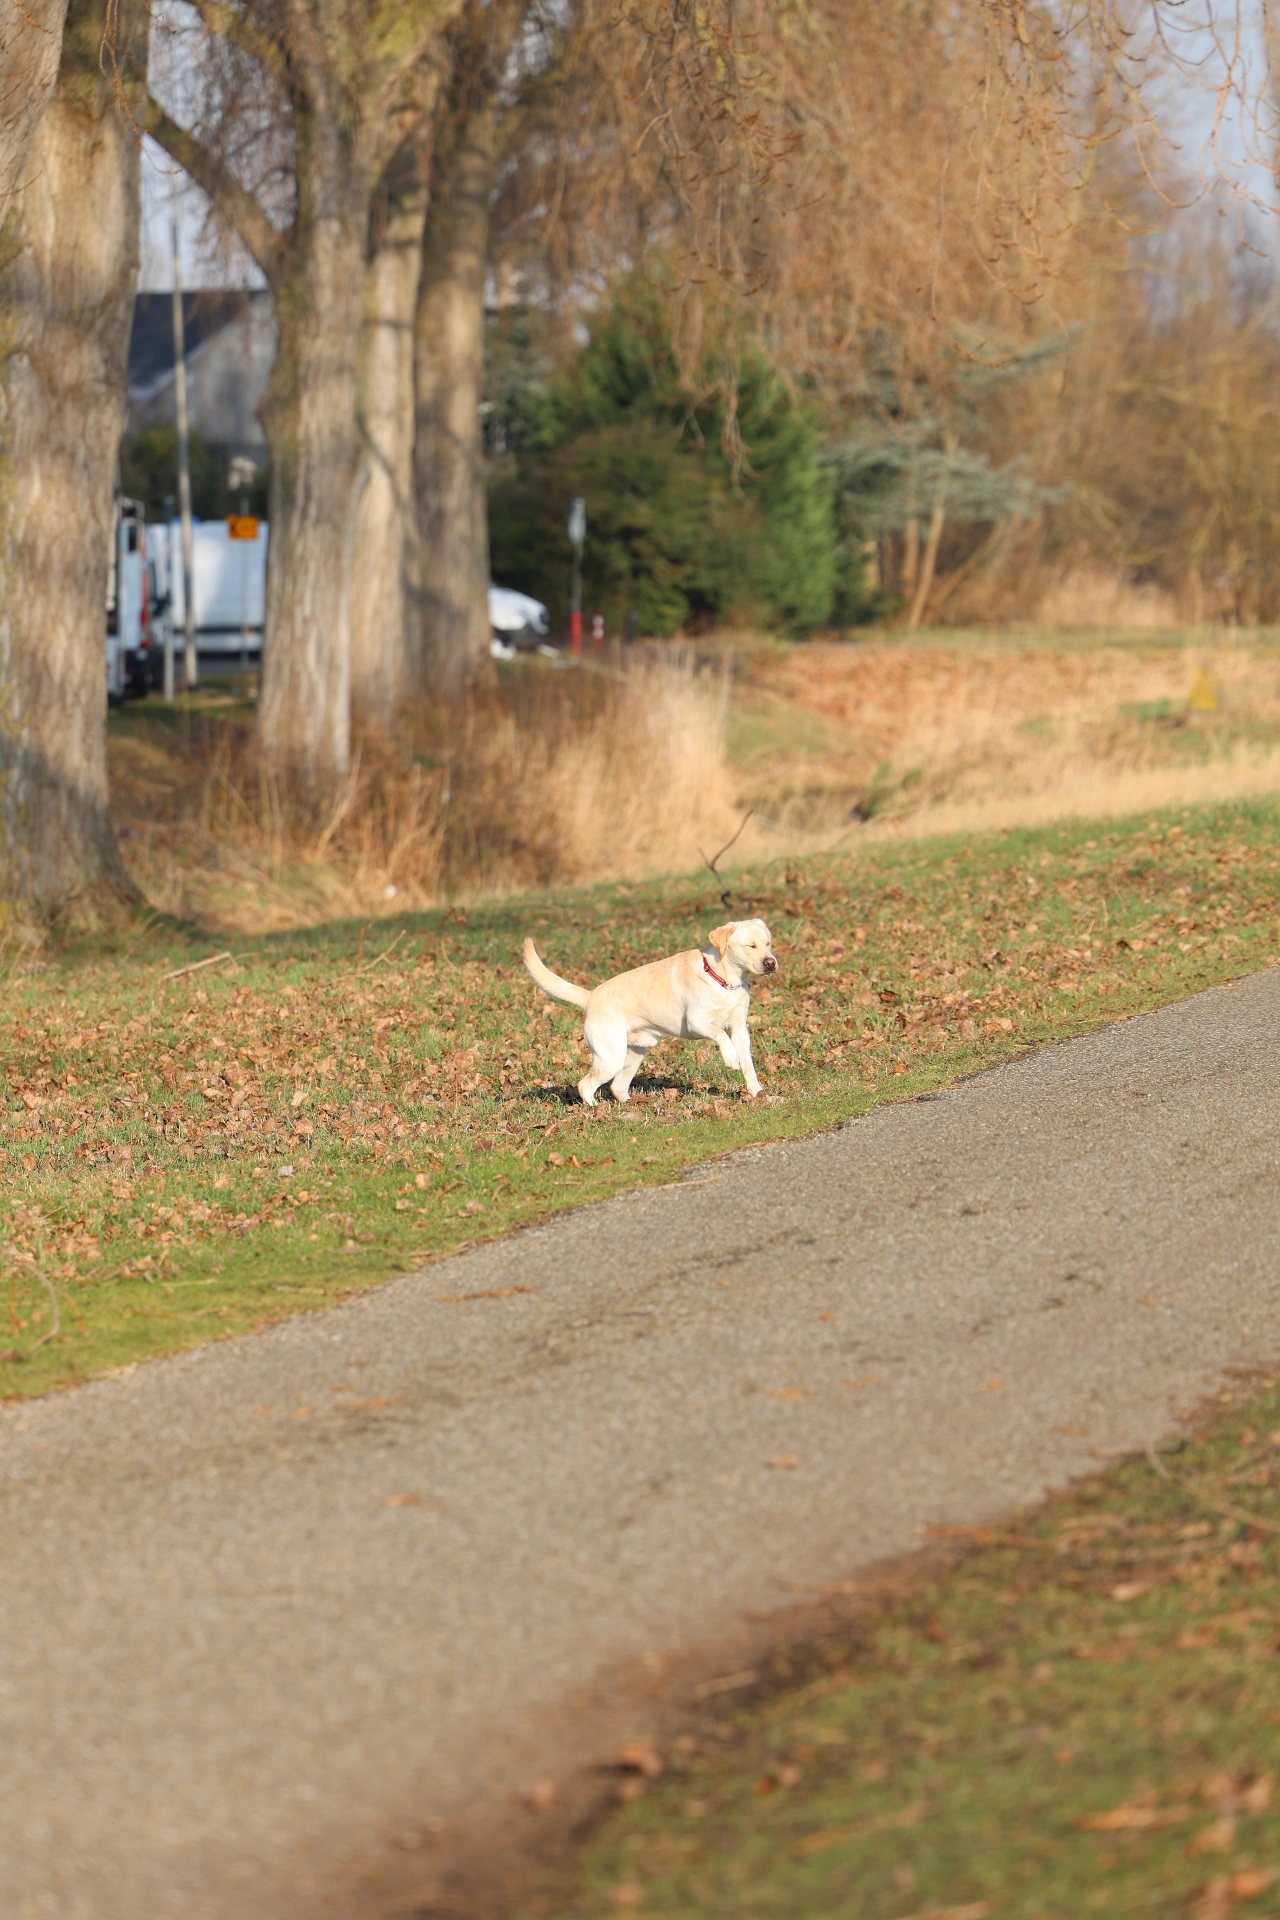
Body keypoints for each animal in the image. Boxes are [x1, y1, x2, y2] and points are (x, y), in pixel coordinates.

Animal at [522, 919, 778, 1106]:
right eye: (750, 946)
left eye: (769, 943)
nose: (771, 963)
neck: (724, 981)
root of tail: (590, 996)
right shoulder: (696, 1022)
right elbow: (720, 1035)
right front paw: (730, 1058)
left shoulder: (740, 1029)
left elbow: (749, 1066)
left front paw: (758, 1094)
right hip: (611, 1058)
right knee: (586, 1085)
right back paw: (595, 1110)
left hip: (634, 1054)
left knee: (617, 1087)